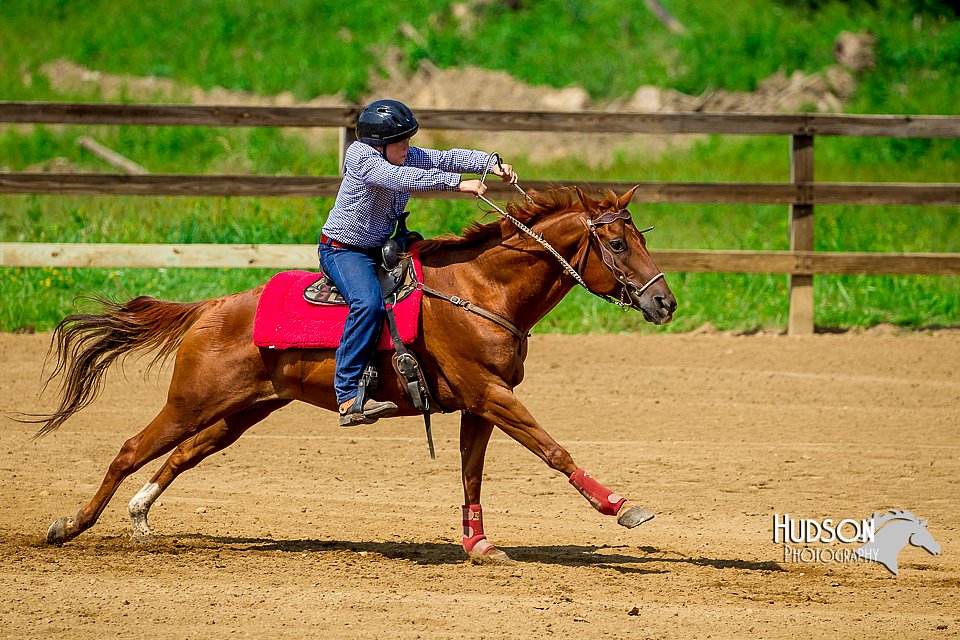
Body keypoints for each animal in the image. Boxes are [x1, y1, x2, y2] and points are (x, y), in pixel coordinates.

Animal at [30, 184, 676, 560]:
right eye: (618, 244)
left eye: (639, 236)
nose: (664, 302)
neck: (480, 288)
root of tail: (213, 306)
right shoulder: (490, 394)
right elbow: (553, 449)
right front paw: (622, 507)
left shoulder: (479, 404)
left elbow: (471, 475)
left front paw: (478, 545)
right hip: (192, 400)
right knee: (129, 449)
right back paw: (67, 527)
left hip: (240, 411)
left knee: (182, 455)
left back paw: (139, 515)